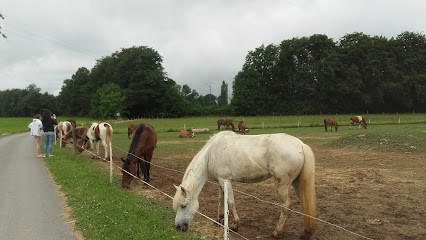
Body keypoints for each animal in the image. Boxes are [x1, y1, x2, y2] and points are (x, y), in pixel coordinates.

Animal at [173, 132, 316, 239]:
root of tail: (301, 145)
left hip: (282, 185)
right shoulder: (220, 181)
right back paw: (307, 232)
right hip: (296, 182)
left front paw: (235, 225)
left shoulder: (225, 180)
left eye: (183, 205)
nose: (178, 228)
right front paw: (219, 220)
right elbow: (221, 200)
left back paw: (277, 231)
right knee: (305, 203)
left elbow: (230, 202)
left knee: (286, 206)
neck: (211, 154)